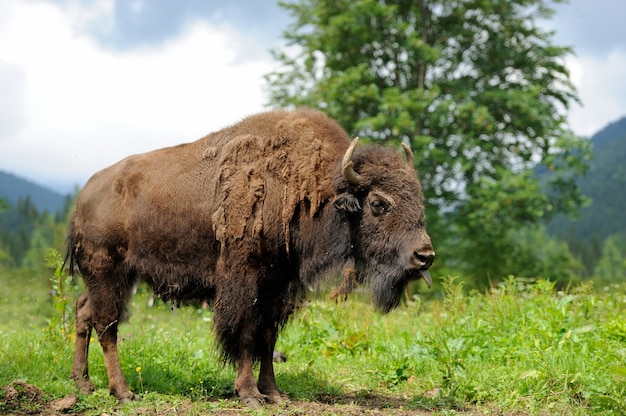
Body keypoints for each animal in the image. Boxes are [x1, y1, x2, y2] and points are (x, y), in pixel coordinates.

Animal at [64, 108, 434, 406]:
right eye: (379, 203)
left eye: (419, 199)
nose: (425, 255)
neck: (309, 186)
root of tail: (85, 194)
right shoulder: (245, 278)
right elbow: (245, 332)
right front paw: (249, 394)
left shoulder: (278, 285)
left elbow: (267, 337)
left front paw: (274, 393)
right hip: (107, 270)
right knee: (107, 324)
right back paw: (123, 392)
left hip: (118, 277)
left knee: (84, 312)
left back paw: (83, 385)